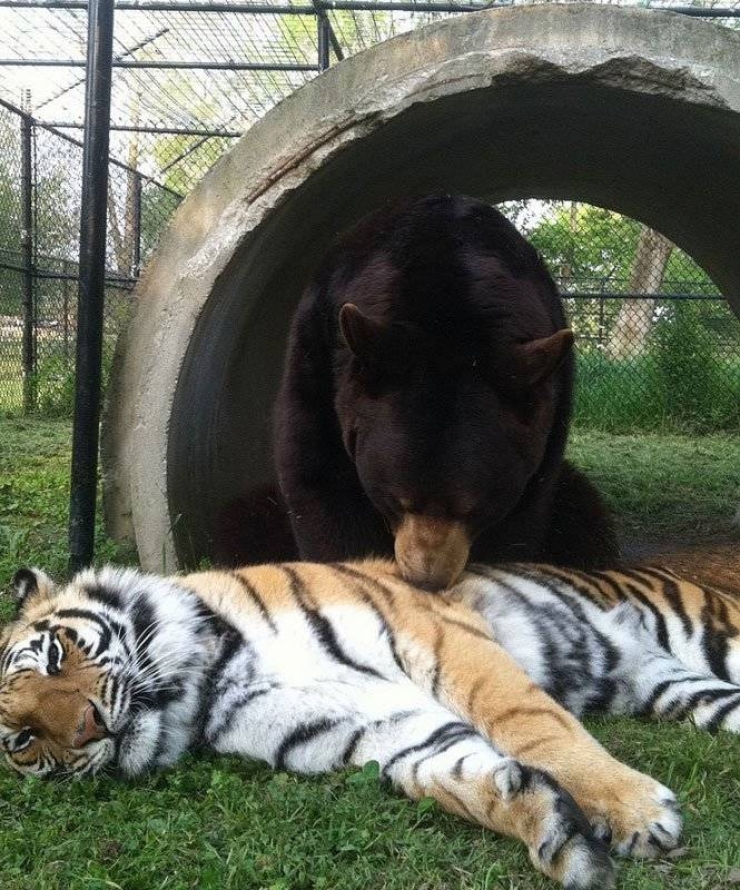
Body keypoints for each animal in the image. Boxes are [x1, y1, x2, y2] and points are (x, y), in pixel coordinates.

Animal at [3, 559, 740, 889]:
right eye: (24, 740)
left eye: (56, 654)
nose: (87, 728)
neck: (208, 682)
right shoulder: (372, 723)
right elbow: (459, 773)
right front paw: (552, 829)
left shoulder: (440, 635)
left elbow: (533, 723)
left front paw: (636, 813)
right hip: (685, 689)